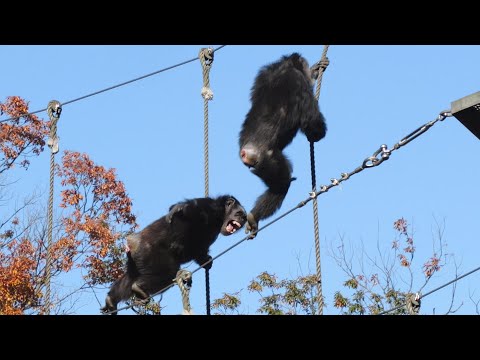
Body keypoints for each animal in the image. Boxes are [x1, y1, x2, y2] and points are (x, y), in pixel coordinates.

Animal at [99, 194, 246, 316]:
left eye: (244, 218)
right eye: (239, 213)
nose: (241, 220)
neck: (220, 218)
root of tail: (132, 242)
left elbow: (199, 250)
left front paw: (207, 261)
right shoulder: (209, 207)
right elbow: (188, 211)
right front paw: (177, 211)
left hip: (133, 260)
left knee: (129, 278)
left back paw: (111, 300)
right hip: (149, 253)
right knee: (167, 274)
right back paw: (139, 288)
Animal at [239, 52, 328, 238]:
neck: (284, 67)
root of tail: (245, 152)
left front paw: (316, 69)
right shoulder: (298, 82)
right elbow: (311, 121)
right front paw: (315, 134)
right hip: (268, 162)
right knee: (282, 184)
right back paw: (255, 216)